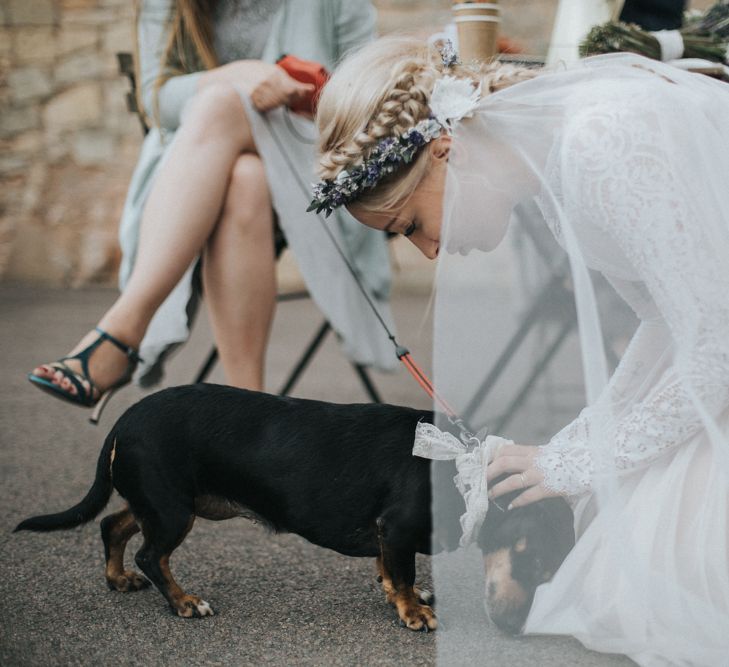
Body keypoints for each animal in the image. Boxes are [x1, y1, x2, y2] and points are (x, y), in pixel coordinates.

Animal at [12, 384, 576, 636]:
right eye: (533, 560)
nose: (516, 630)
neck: (464, 464)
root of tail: (126, 417)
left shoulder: (385, 534)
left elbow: (389, 570)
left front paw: (402, 595)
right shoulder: (396, 529)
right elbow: (402, 571)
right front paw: (413, 610)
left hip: (166, 501)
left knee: (114, 525)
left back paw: (118, 578)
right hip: (173, 509)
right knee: (152, 555)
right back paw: (184, 602)